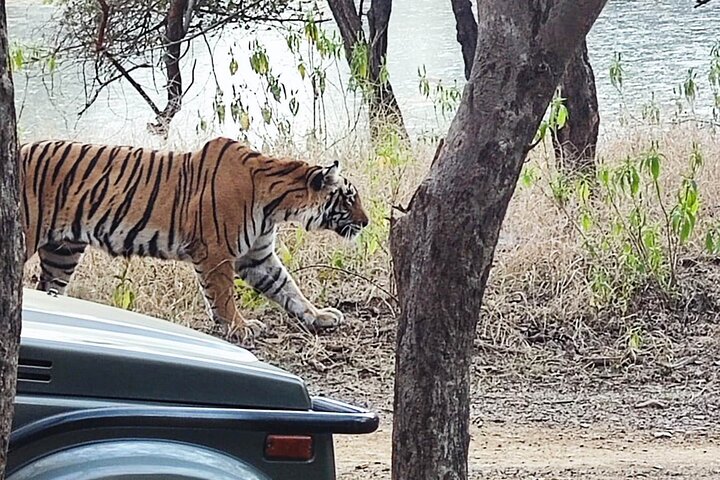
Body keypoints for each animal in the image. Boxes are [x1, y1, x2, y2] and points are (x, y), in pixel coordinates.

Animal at [20, 136, 369, 337]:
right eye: (350, 198)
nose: (366, 223)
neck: (276, 205)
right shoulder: (217, 252)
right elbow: (224, 294)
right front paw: (239, 328)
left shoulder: (257, 257)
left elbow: (288, 288)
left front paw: (319, 316)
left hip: (63, 252)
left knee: (48, 288)